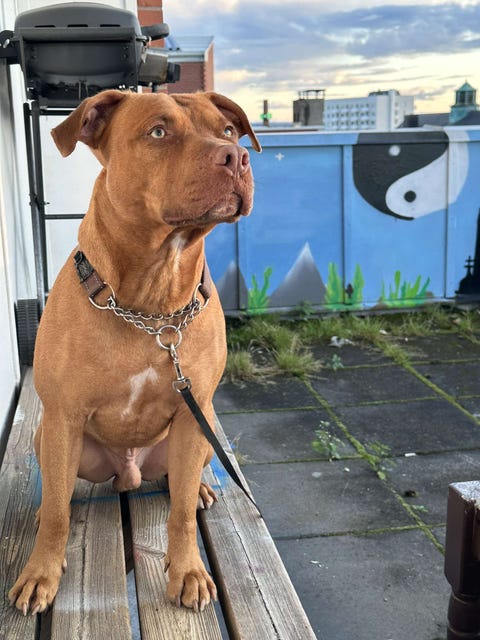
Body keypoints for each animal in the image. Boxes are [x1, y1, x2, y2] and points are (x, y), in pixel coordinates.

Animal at [9, 89, 260, 615]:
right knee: (60, 495)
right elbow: (58, 515)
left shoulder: (191, 414)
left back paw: (201, 487)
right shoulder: (63, 417)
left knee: (181, 481)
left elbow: (179, 513)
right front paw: (41, 573)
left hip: (202, 433)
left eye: (228, 131)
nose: (237, 156)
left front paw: (188, 571)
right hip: (49, 437)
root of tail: (127, 474)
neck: (152, 305)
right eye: (158, 132)